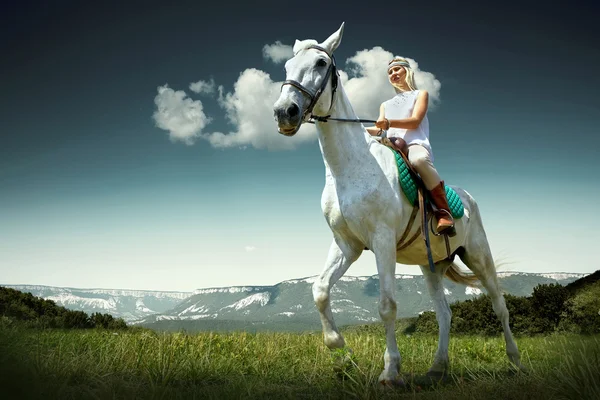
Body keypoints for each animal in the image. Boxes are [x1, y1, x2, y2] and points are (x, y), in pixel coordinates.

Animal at [274, 23, 524, 386]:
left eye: (321, 63)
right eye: (287, 67)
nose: (284, 113)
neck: (351, 168)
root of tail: (468, 197)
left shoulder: (381, 242)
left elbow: (387, 306)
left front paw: (390, 370)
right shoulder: (347, 245)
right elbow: (320, 290)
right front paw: (342, 354)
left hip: (478, 255)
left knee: (499, 304)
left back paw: (515, 361)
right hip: (431, 265)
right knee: (444, 313)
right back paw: (437, 368)